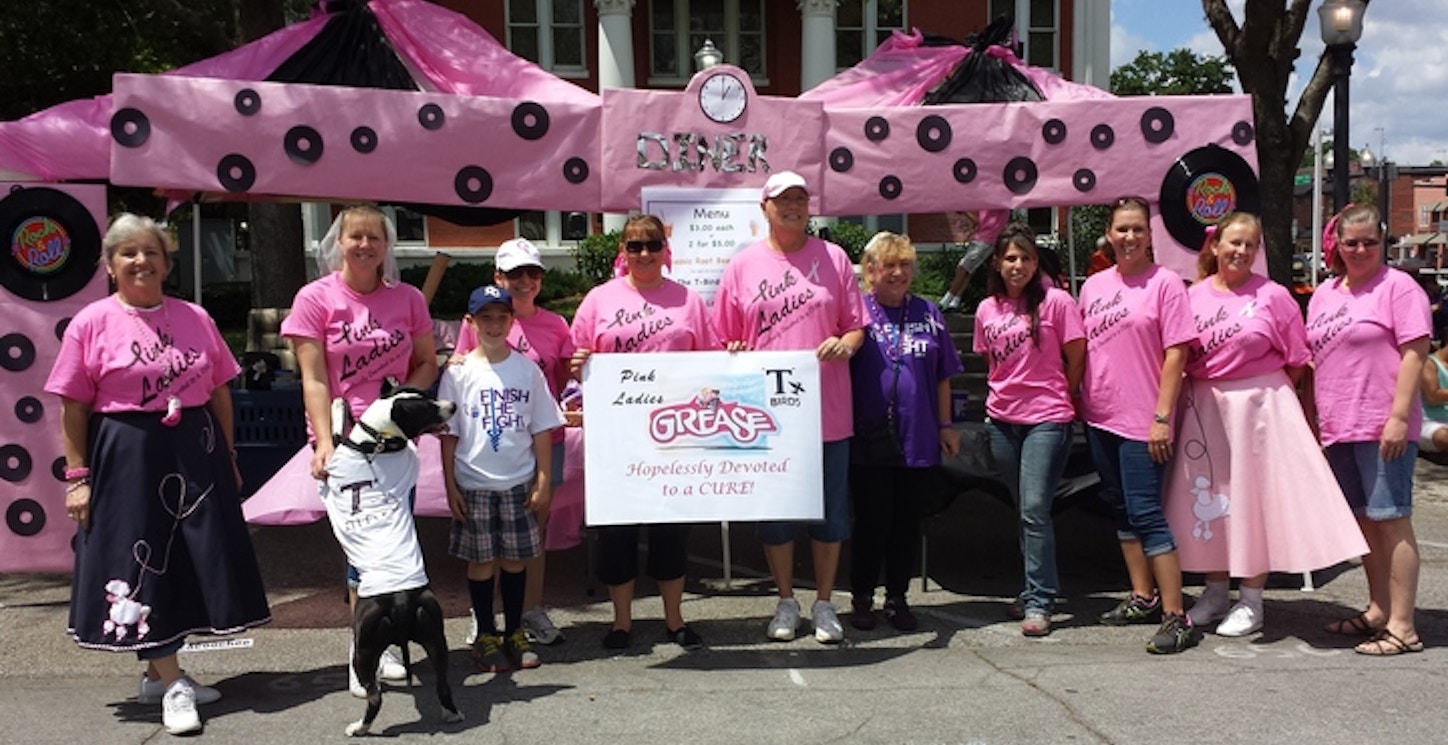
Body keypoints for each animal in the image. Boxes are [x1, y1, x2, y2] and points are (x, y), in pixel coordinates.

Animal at [320, 381, 460, 737]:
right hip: (435, 635)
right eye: (426, 406)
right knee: (443, 683)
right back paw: (451, 713)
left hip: (365, 646)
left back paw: (359, 727)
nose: (452, 406)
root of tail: (399, 599)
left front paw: (338, 406)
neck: (377, 440)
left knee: (374, 697)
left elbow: (338, 429)